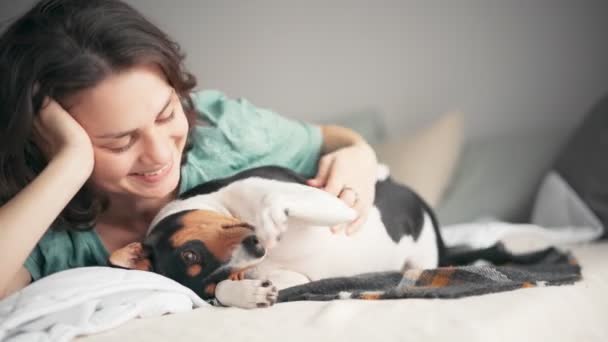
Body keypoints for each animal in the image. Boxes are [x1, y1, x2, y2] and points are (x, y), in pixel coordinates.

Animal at [109, 164, 540, 308]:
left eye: (190, 255)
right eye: (200, 267)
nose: (258, 244)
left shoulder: (330, 201)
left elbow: (273, 198)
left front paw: (270, 214)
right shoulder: (292, 276)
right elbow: (233, 291)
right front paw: (248, 293)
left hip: (420, 253)